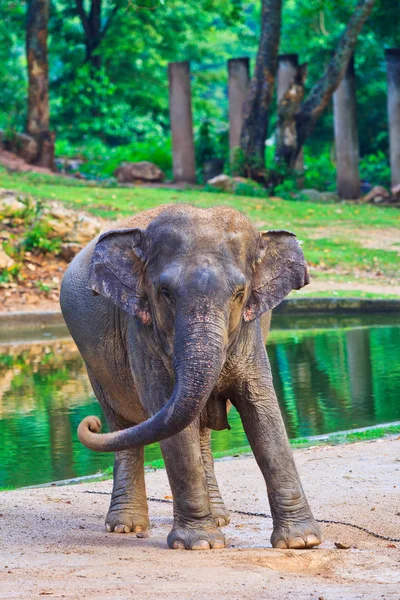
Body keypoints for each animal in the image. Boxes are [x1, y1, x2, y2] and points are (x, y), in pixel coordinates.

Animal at [60, 204, 322, 552]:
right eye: (164, 293)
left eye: (240, 293)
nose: (89, 424)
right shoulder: (141, 332)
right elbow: (172, 420)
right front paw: (200, 544)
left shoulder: (249, 333)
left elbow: (263, 413)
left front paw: (301, 542)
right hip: (95, 364)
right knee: (122, 423)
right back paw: (125, 527)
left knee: (197, 429)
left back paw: (220, 518)